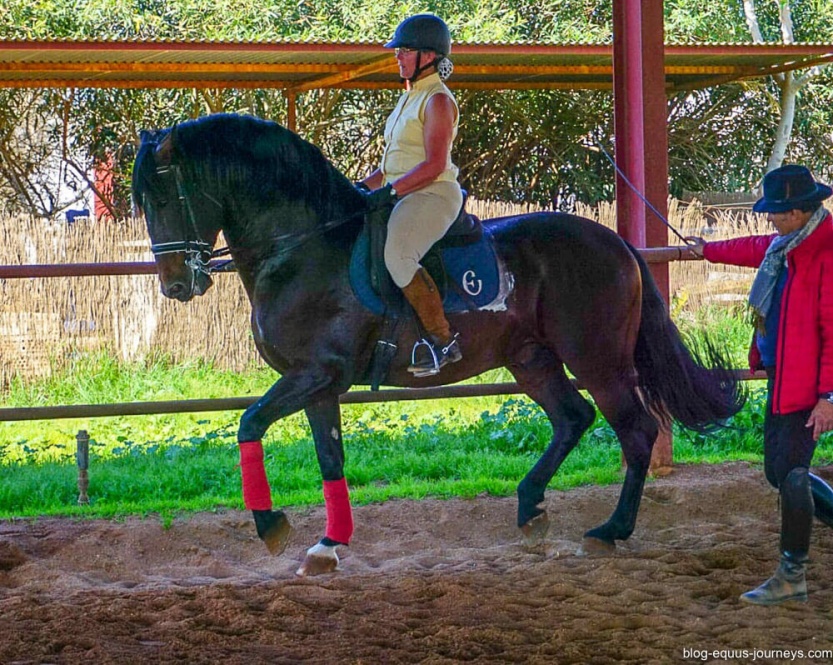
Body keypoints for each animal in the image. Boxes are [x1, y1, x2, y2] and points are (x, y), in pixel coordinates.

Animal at [133, 114, 744, 576]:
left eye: (162, 198)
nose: (176, 285)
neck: (305, 246)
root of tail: (615, 241)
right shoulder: (319, 384)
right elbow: (330, 456)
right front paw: (328, 546)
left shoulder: (315, 374)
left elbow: (249, 424)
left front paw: (272, 527)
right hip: (532, 360)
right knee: (572, 418)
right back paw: (531, 508)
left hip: (598, 360)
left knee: (635, 431)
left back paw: (610, 530)